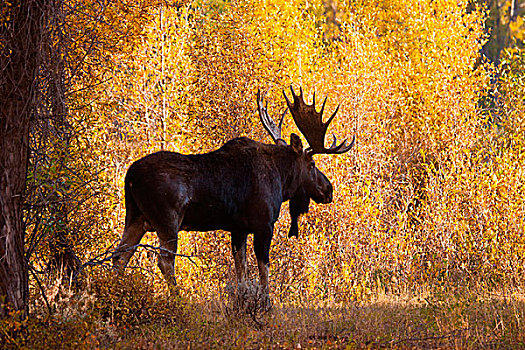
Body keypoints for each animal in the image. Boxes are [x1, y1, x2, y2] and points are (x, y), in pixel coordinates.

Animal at [112, 86, 354, 300]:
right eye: (312, 164)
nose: (329, 189)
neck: (282, 179)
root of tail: (130, 176)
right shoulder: (263, 224)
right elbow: (264, 269)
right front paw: (266, 303)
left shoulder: (238, 228)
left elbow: (241, 269)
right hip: (167, 220)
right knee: (164, 261)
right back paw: (178, 301)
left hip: (135, 217)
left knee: (119, 256)